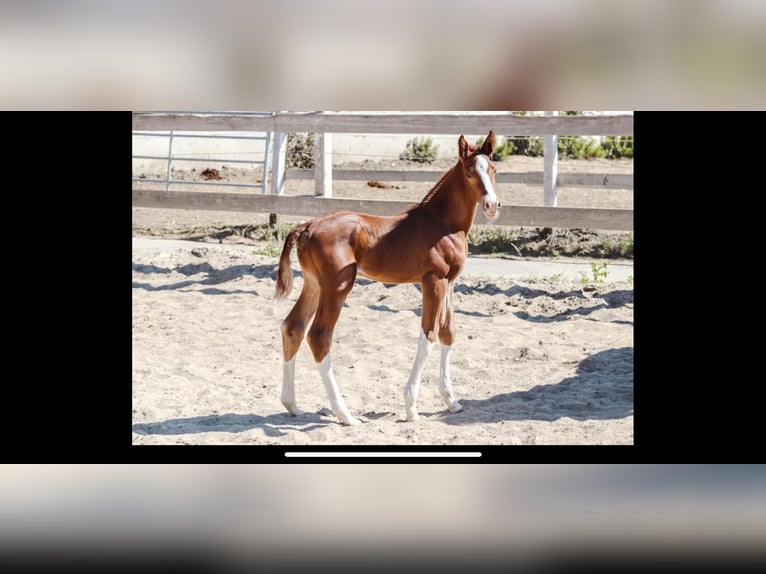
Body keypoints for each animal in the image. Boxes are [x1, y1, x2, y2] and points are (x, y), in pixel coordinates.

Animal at [274, 130, 500, 425]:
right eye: (470, 173)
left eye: (493, 170)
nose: (492, 205)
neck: (442, 223)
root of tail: (307, 226)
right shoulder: (433, 282)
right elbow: (428, 335)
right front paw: (411, 407)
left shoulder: (450, 283)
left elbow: (448, 333)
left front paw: (452, 402)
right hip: (337, 287)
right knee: (319, 337)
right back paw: (345, 414)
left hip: (314, 285)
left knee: (293, 327)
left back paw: (293, 405)